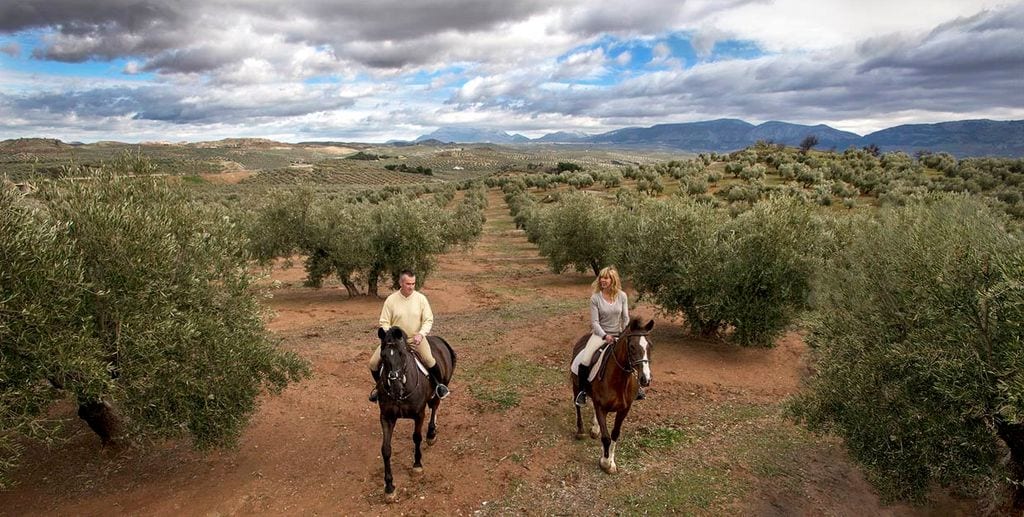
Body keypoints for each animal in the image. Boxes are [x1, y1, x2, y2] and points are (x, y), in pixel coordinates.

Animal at [376, 325, 456, 499]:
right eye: (383, 355)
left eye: (402, 353)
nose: (395, 387)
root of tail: (439, 340)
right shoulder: (386, 417)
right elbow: (386, 449)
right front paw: (389, 486)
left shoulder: (419, 414)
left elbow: (417, 438)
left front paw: (417, 465)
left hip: (439, 389)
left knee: (435, 406)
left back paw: (431, 434)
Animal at [569, 315, 655, 470]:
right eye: (632, 346)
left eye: (650, 346)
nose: (646, 379)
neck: (619, 381)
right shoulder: (601, 407)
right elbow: (606, 437)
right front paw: (604, 462)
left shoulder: (624, 409)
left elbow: (615, 434)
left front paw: (611, 462)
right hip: (576, 385)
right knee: (577, 405)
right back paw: (581, 431)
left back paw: (595, 428)